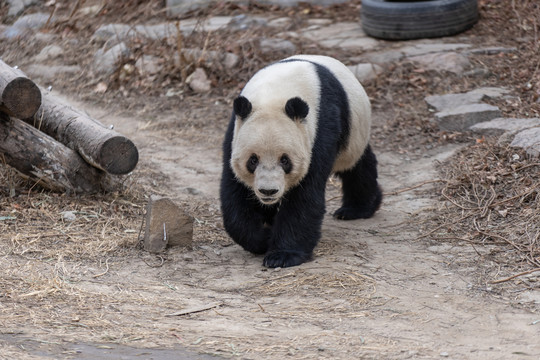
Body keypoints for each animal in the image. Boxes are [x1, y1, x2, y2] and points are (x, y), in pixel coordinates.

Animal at [218, 54, 380, 268]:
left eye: (285, 160)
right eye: (252, 160)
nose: (268, 191)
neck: (275, 91)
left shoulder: (321, 128)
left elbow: (304, 196)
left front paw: (282, 255)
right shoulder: (235, 132)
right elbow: (235, 193)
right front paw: (263, 239)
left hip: (354, 133)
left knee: (356, 167)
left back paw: (356, 209)